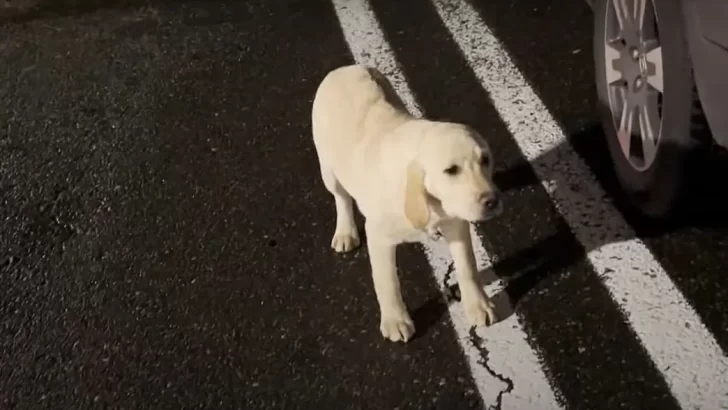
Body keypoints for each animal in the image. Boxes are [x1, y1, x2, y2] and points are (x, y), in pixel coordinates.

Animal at [310, 65, 504, 342]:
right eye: (451, 170)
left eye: (485, 160)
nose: (492, 201)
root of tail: (345, 68)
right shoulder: (379, 237)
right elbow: (387, 281)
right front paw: (395, 321)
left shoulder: (456, 224)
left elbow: (467, 266)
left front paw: (479, 305)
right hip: (328, 168)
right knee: (342, 198)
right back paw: (346, 232)